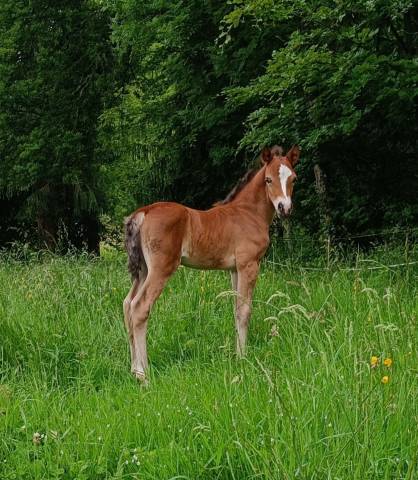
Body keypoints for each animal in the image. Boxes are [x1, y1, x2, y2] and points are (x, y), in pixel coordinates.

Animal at [122, 144, 298, 380]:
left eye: (293, 179)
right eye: (268, 179)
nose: (284, 208)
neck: (248, 214)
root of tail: (144, 212)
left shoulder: (234, 269)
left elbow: (236, 309)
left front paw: (237, 354)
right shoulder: (249, 265)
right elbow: (245, 310)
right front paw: (243, 358)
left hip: (142, 270)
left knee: (127, 304)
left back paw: (133, 370)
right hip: (161, 269)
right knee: (140, 307)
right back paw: (143, 374)